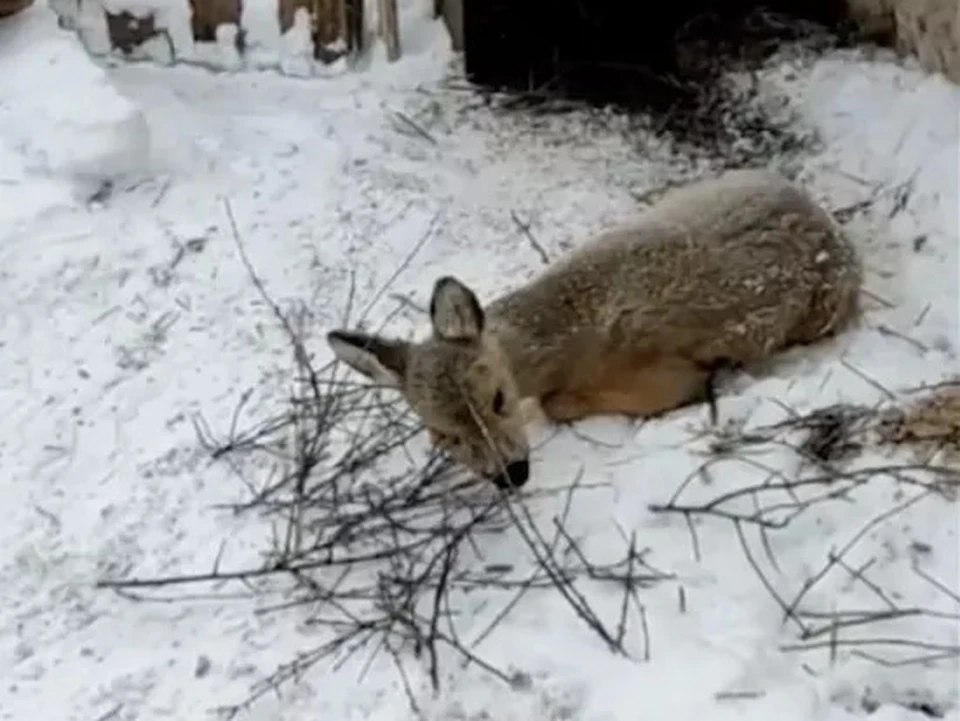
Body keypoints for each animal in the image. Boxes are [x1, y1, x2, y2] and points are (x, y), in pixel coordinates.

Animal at [330, 167, 864, 490]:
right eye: (443, 435)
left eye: (499, 399)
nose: (510, 474)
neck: (571, 332)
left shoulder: (663, 376)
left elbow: (559, 405)